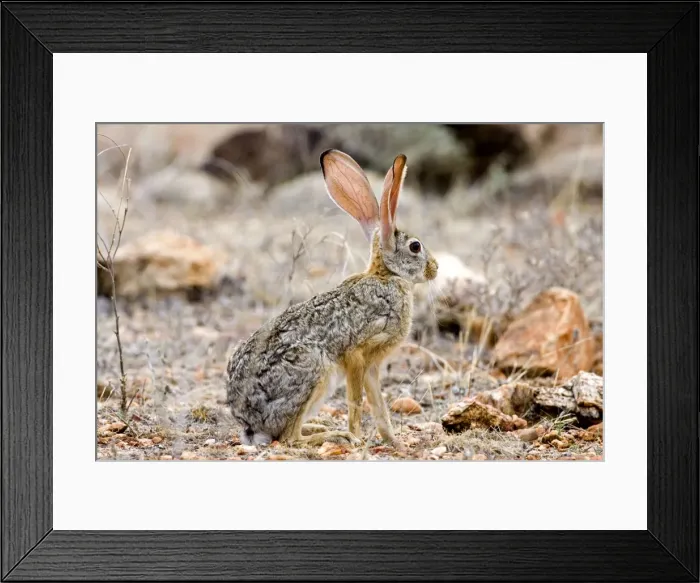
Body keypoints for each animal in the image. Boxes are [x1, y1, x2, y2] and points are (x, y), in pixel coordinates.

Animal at [226, 149, 438, 447]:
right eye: (415, 247)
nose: (435, 268)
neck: (387, 275)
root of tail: (249, 423)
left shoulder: (372, 366)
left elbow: (379, 405)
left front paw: (394, 442)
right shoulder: (357, 353)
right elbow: (356, 401)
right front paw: (357, 437)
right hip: (314, 371)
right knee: (290, 438)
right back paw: (334, 434)